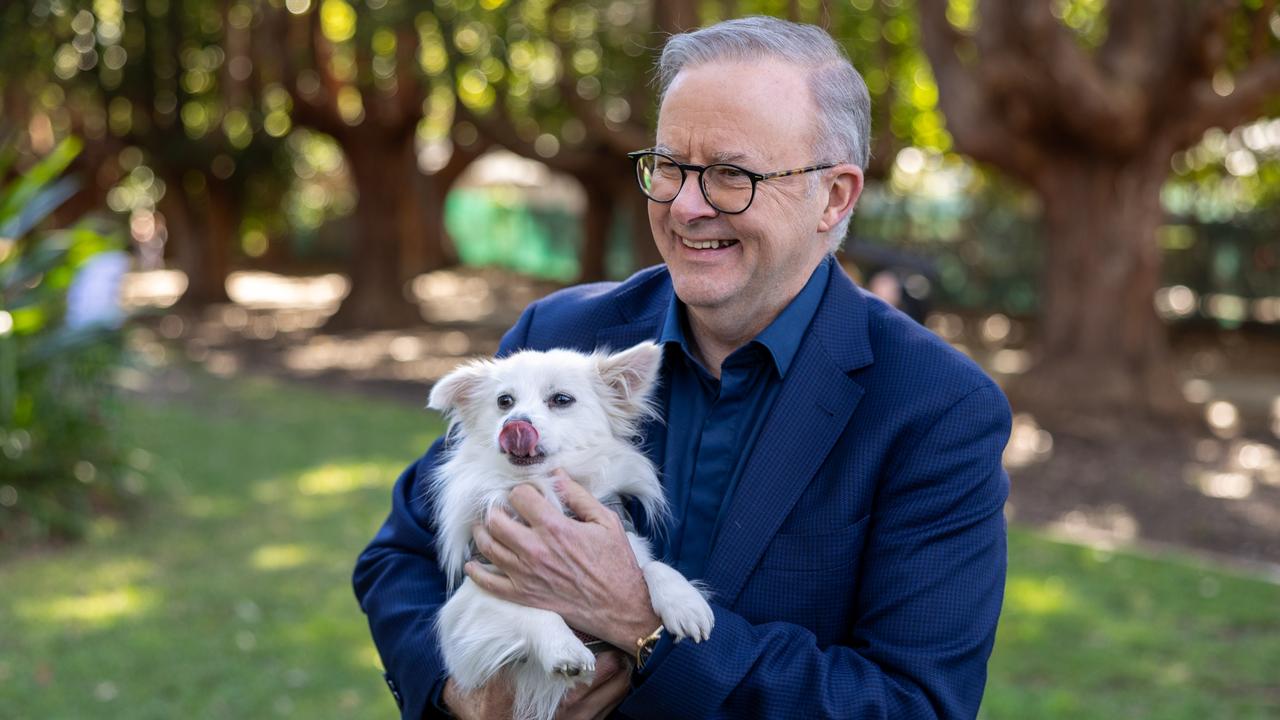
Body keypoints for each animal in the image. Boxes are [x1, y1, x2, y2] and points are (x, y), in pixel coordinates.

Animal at [427, 340, 711, 717]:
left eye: (561, 399)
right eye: (504, 401)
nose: (514, 423)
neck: (544, 488)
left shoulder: (622, 545)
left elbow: (651, 567)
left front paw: (685, 602)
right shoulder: (467, 609)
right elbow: (530, 607)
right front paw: (563, 647)